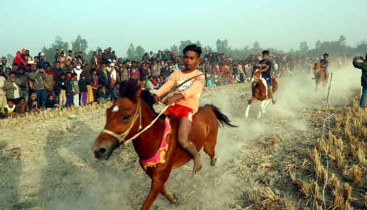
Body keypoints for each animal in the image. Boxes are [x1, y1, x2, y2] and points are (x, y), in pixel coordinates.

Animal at [92, 79, 236, 209]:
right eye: (107, 113)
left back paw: (208, 162)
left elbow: (146, 205)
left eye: (126, 116)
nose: (99, 149)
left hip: (209, 143)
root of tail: (208, 108)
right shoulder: (154, 176)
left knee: (211, 153)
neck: (155, 138)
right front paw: (173, 198)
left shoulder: (160, 178)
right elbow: (163, 190)